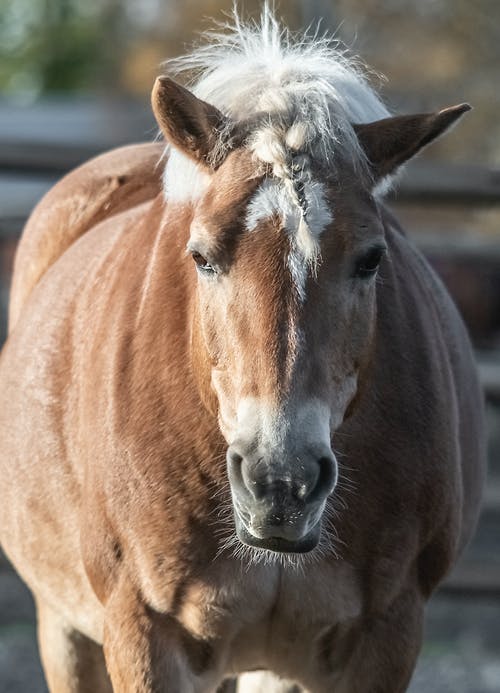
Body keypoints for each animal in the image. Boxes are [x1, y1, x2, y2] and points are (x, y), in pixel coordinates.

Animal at [0, 10, 484, 692]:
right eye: (202, 256)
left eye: (371, 259)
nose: (281, 483)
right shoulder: (145, 634)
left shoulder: (385, 637)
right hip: (64, 630)